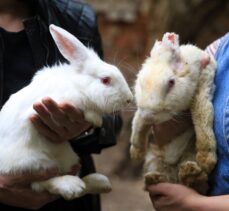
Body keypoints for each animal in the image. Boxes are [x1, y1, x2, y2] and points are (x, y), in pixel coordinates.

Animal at [0, 24, 132, 199]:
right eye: (105, 80)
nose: (129, 99)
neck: (78, 83)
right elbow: (85, 106)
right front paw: (95, 118)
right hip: (32, 162)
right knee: (42, 183)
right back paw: (72, 186)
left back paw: (100, 183)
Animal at [131, 32, 216, 194]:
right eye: (141, 82)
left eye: (171, 83)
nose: (148, 115)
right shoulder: (140, 113)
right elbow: (138, 126)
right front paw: (136, 154)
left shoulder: (202, 87)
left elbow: (201, 116)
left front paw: (206, 159)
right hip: (154, 159)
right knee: (166, 178)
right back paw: (154, 178)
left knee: (198, 186)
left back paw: (191, 173)